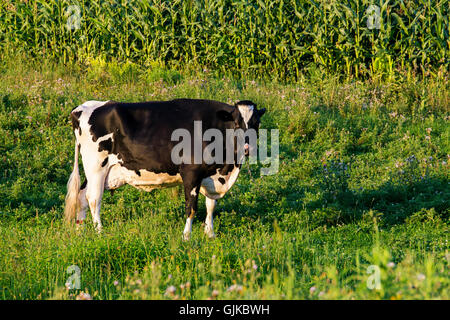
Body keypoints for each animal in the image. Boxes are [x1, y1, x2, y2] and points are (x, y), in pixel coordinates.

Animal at [65, 99, 266, 239]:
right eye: (237, 123)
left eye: (256, 123)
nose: (248, 148)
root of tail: (81, 108)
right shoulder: (191, 174)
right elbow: (191, 207)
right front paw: (187, 236)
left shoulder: (211, 177)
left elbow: (211, 205)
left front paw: (210, 234)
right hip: (96, 165)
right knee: (93, 198)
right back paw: (100, 232)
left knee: (81, 196)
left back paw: (80, 231)